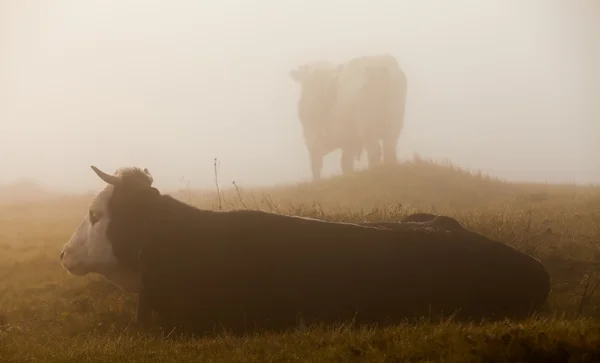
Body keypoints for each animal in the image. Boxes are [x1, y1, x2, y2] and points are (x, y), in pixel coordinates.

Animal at [290, 53, 408, 181]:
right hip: (395, 122)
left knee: (375, 151)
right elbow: (346, 164)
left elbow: (316, 166)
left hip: (367, 126)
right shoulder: (348, 141)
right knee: (389, 149)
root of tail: (379, 64)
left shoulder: (312, 137)